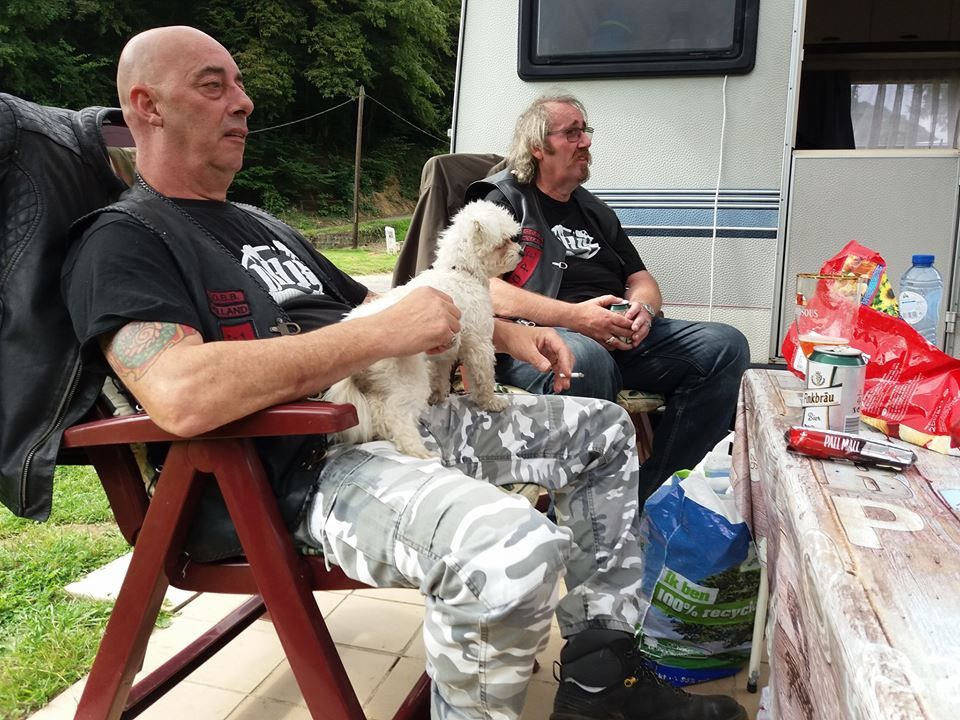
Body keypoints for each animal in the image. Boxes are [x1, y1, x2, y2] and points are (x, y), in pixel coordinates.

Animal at [323, 200, 522, 458]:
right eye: (503, 242)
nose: (521, 252)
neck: (460, 271)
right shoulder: (478, 343)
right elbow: (484, 378)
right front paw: (491, 402)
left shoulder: (444, 351)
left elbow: (440, 375)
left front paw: (439, 396)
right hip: (408, 379)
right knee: (395, 415)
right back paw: (417, 450)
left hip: (381, 385)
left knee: (378, 412)